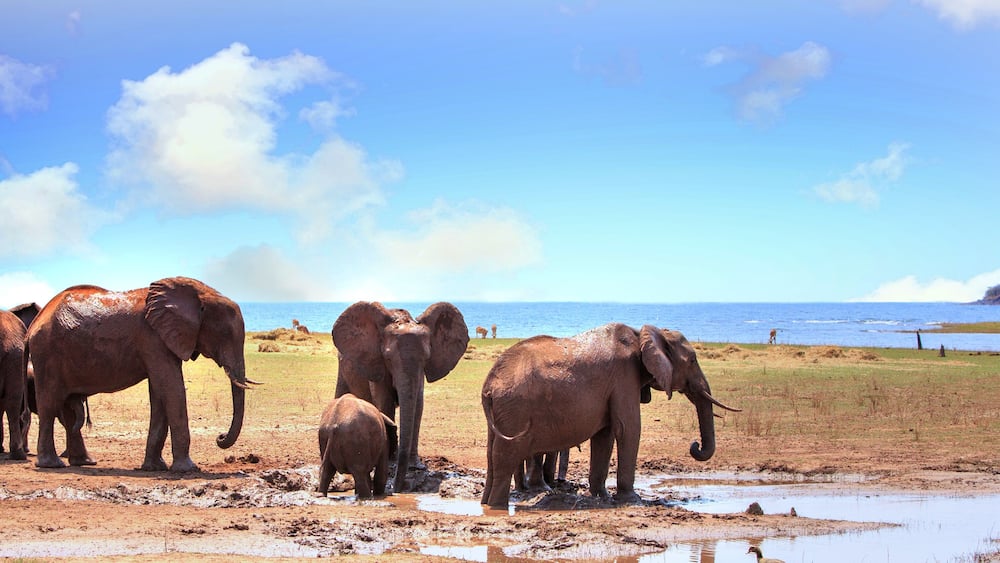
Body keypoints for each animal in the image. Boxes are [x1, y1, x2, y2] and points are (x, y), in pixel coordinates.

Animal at [28, 277, 253, 471]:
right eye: (225, 334)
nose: (220, 437)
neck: (199, 293)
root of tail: (35, 322)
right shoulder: (153, 339)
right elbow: (172, 389)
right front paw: (189, 469)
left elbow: (160, 394)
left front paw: (155, 468)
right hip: (46, 353)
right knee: (49, 405)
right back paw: (52, 465)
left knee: (67, 409)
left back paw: (83, 462)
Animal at [332, 301, 469, 492]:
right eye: (388, 357)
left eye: (426, 357)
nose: (395, 489)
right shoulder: (377, 363)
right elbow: (385, 402)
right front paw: (391, 462)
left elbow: (418, 406)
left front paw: (415, 466)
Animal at [481, 323, 739, 508]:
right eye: (693, 360)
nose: (694, 446)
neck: (644, 334)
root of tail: (489, 385)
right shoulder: (624, 377)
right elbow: (628, 428)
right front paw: (631, 500)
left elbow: (604, 435)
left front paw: (601, 497)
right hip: (516, 410)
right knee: (506, 456)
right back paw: (498, 507)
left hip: (502, 412)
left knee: (493, 455)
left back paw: (487, 504)